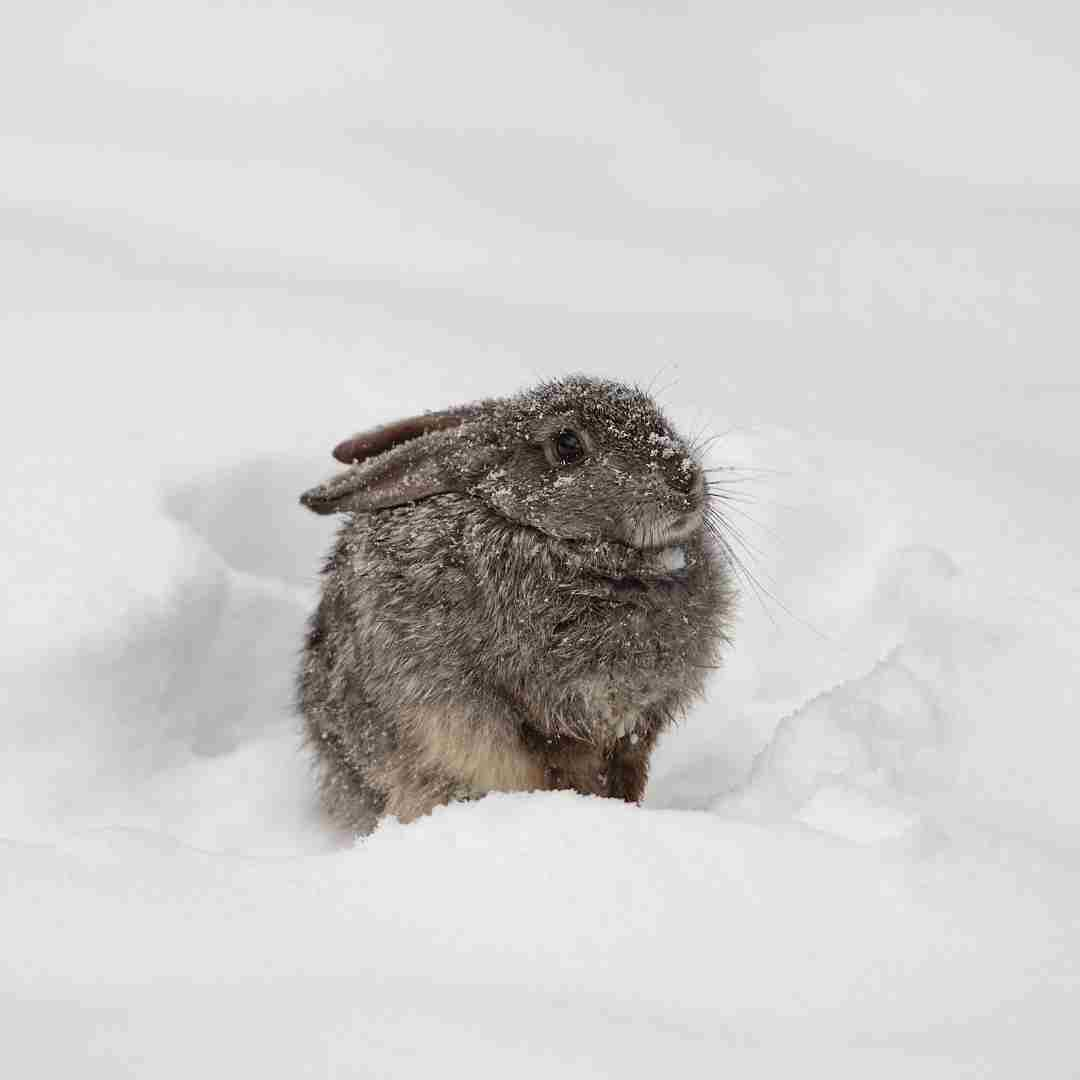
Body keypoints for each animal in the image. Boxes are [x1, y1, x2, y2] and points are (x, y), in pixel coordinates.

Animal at [295, 373, 734, 833]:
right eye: (567, 445)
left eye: (653, 414)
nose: (684, 479)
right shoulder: (544, 714)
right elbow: (572, 771)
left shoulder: (638, 727)